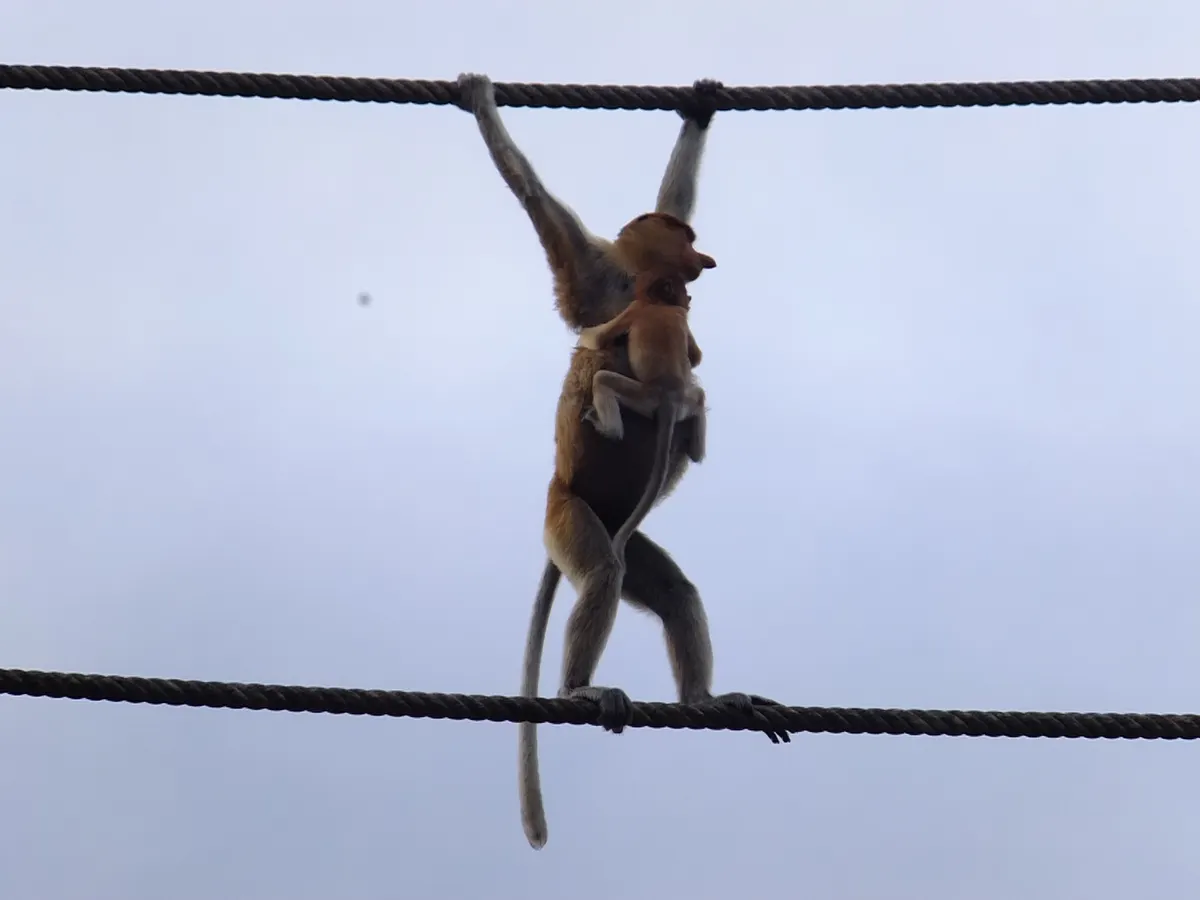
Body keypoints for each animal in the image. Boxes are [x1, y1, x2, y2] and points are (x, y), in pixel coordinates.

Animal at [456, 73, 789, 851]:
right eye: (691, 245)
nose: (706, 259)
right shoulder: (602, 285)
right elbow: (542, 207)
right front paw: (481, 101)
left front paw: (701, 106)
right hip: (572, 518)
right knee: (604, 572)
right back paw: (579, 689)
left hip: (619, 528)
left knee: (670, 589)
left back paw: (705, 698)